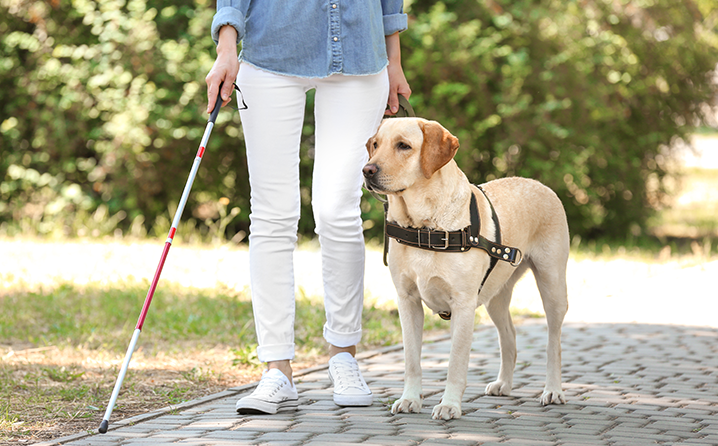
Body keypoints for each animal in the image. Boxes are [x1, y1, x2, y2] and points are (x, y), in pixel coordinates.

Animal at [362, 117, 572, 418]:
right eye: (375, 145)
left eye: (404, 146)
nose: (367, 170)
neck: (424, 226)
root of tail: (540, 184)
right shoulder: (407, 300)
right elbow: (411, 360)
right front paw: (410, 398)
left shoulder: (462, 304)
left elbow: (456, 362)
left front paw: (449, 404)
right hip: (495, 297)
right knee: (509, 336)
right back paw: (504, 384)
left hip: (552, 285)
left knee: (553, 343)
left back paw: (553, 390)